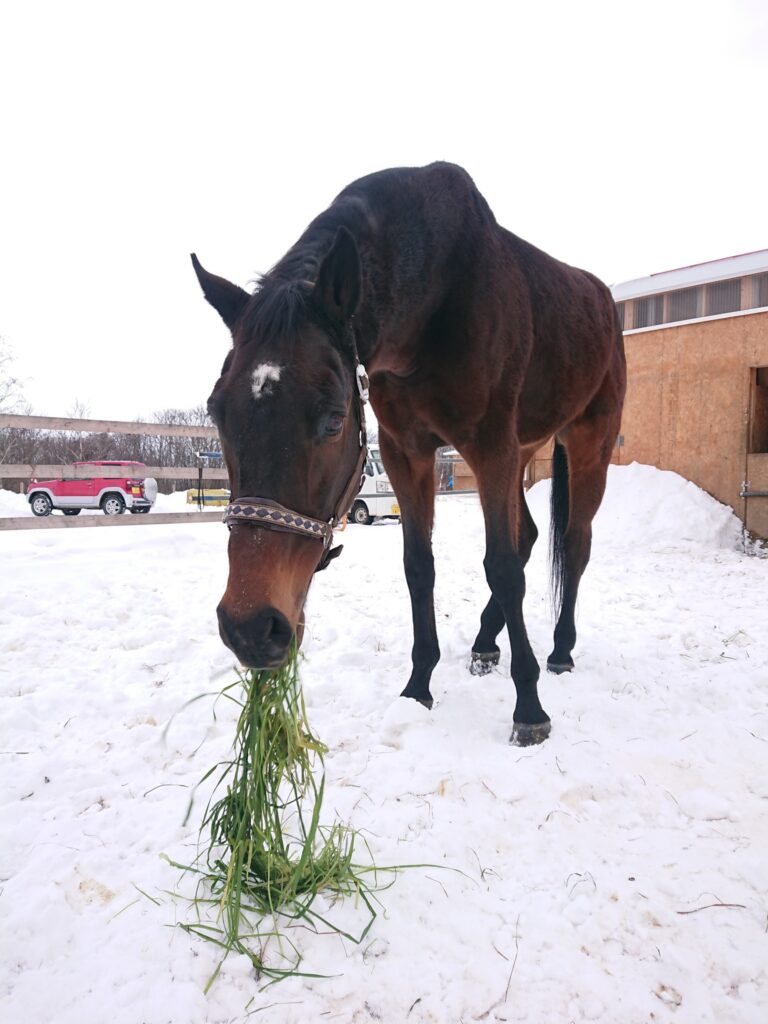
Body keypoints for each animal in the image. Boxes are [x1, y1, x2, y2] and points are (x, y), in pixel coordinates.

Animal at [192, 163, 626, 749]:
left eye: (333, 420)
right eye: (217, 412)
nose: (251, 629)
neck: (440, 296)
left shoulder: (491, 444)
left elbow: (502, 566)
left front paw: (529, 707)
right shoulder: (409, 453)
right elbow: (420, 566)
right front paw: (419, 685)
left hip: (586, 446)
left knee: (573, 545)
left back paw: (559, 651)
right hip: (522, 452)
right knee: (533, 535)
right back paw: (486, 643)